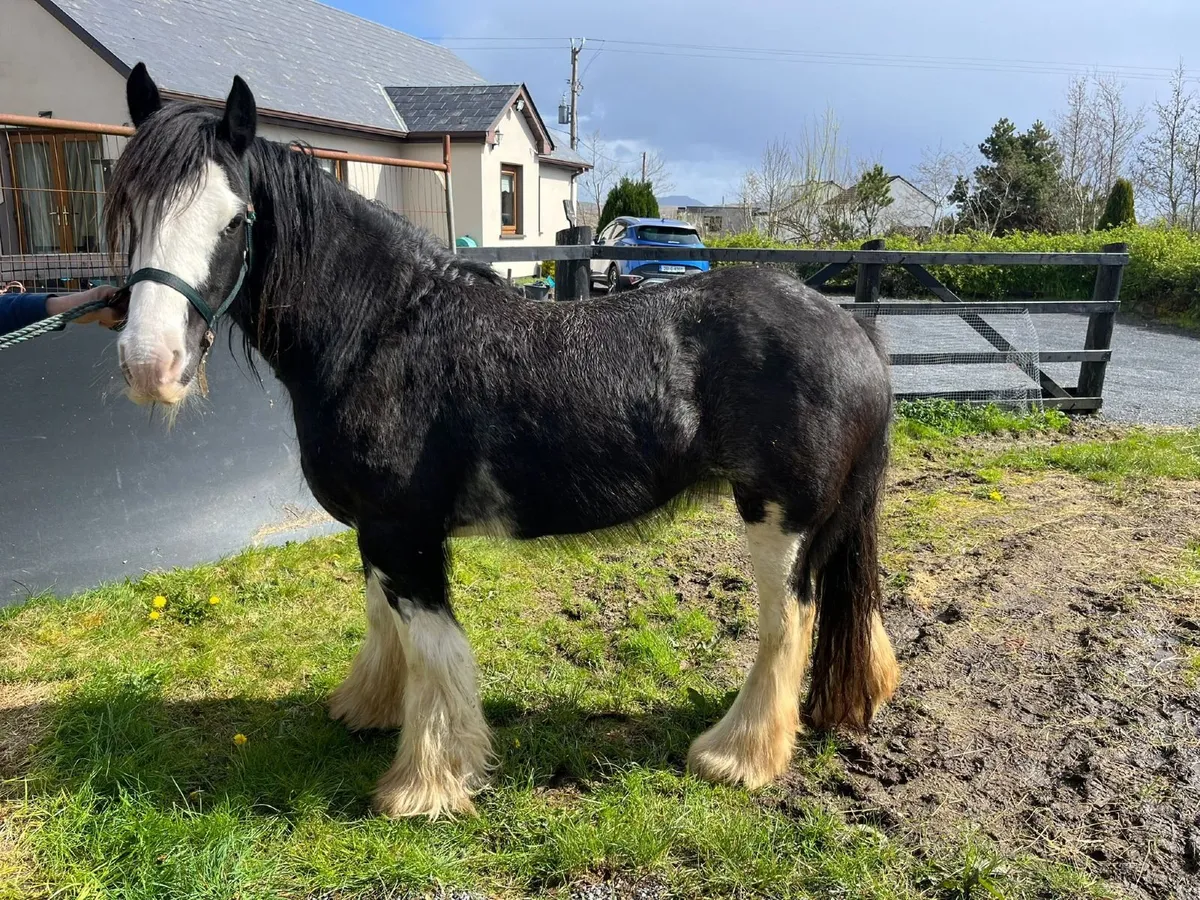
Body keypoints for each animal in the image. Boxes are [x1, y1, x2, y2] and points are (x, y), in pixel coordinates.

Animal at [108, 63, 899, 819]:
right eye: (129, 207)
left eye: (235, 219)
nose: (151, 364)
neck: (382, 332)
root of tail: (848, 326)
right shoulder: (378, 532)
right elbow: (383, 621)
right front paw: (368, 708)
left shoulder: (404, 532)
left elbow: (435, 651)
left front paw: (426, 785)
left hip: (779, 519)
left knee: (787, 625)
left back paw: (736, 755)